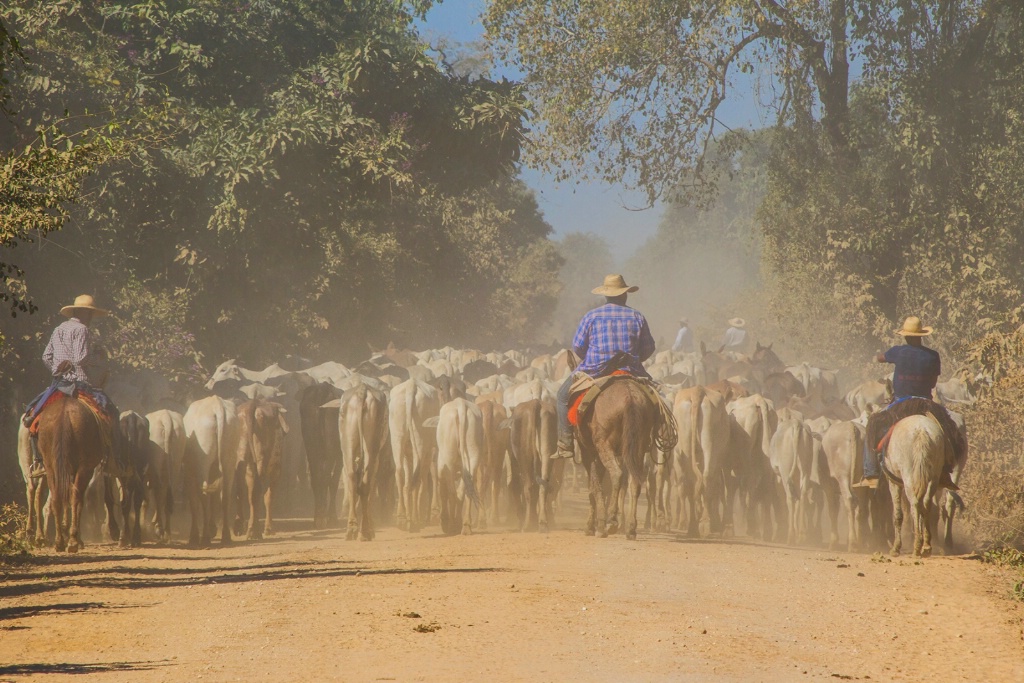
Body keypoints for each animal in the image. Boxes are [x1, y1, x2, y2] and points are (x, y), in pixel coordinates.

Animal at [35, 393, 111, 552]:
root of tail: (64, 413)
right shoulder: (85, 469)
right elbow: (77, 499)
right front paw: (75, 536)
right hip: (83, 468)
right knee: (76, 498)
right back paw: (73, 541)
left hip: (51, 466)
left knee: (55, 498)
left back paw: (58, 541)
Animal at [581, 378, 659, 540]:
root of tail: (630, 397)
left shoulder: (588, 451)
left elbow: (594, 485)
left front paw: (593, 526)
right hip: (638, 445)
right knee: (635, 481)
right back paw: (630, 528)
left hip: (604, 444)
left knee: (617, 474)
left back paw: (611, 521)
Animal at [880, 413, 950, 557]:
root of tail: (921, 431)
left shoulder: (894, 483)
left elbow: (898, 514)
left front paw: (896, 548)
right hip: (933, 477)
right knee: (926, 504)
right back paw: (926, 545)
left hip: (908, 476)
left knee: (915, 503)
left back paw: (917, 545)